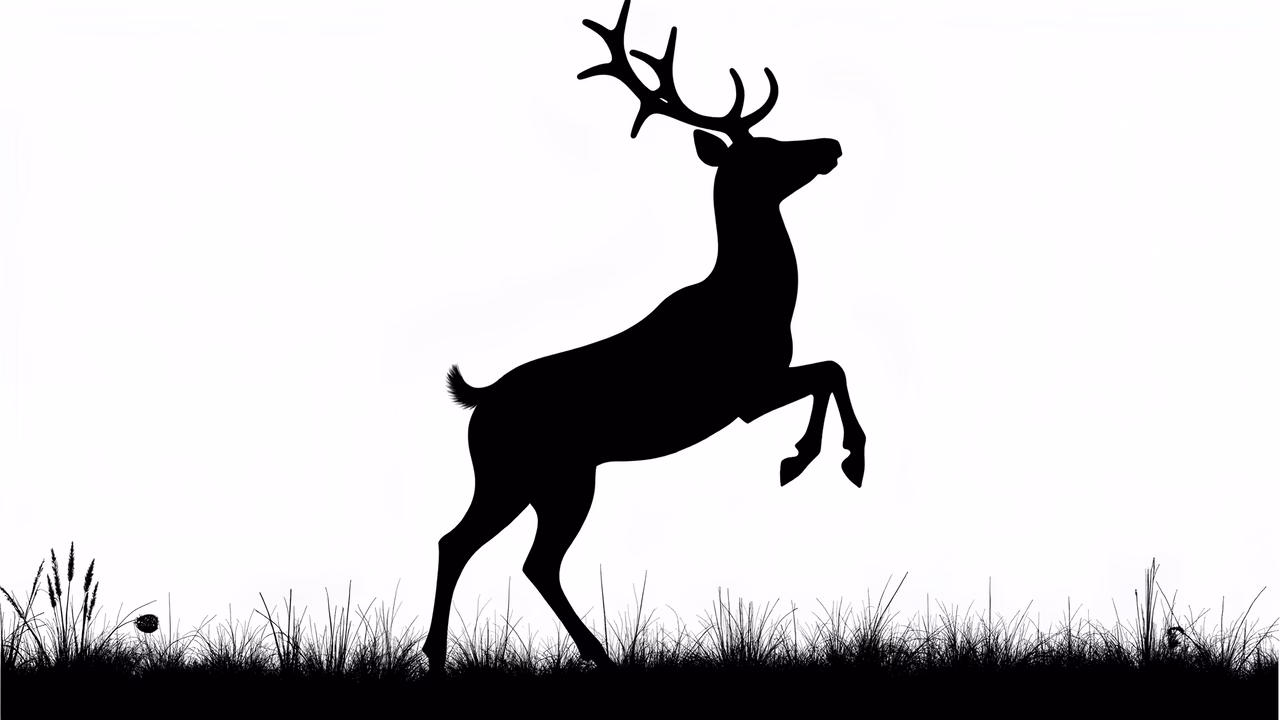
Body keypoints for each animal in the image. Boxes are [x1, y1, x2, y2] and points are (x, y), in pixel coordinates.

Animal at [423, 0, 864, 673]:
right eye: (764, 151)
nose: (831, 144)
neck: (756, 302)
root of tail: (480, 400)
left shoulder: (756, 387)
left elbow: (831, 369)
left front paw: (819, 454)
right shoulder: (741, 393)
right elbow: (831, 370)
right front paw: (821, 456)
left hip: (537, 478)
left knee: (496, 551)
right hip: (531, 472)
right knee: (500, 552)